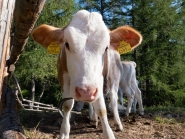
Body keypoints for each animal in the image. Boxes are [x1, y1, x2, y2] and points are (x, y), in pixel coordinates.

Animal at [31, 10, 142, 139]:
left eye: (106, 47)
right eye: (67, 44)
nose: (86, 91)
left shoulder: (98, 81)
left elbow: (101, 108)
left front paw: (108, 133)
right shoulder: (63, 77)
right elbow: (67, 105)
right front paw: (64, 132)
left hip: (116, 79)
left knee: (115, 98)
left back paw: (119, 122)